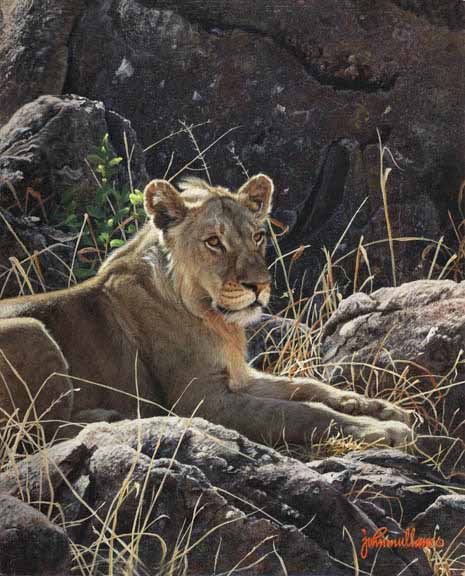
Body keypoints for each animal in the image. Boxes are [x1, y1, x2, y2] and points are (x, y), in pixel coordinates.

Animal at [0, 174, 413, 446]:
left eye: (257, 236)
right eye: (214, 242)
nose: (259, 286)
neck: (217, 321)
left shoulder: (237, 376)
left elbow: (305, 386)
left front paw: (379, 408)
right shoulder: (202, 402)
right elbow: (302, 412)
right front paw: (385, 430)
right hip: (31, 329)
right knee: (35, 435)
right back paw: (106, 419)